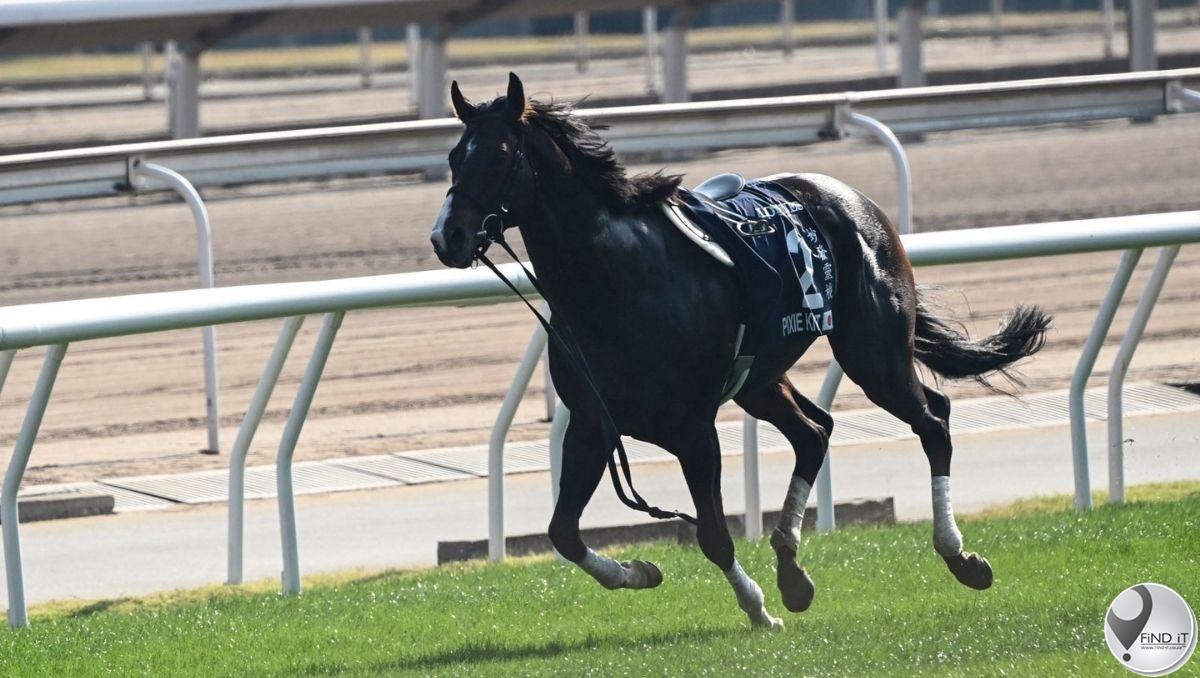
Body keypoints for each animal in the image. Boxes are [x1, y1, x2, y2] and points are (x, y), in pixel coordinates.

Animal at [429, 73, 1050, 629]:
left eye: (499, 155)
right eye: (455, 156)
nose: (446, 237)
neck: (615, 279)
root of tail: (855, 200)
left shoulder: (692, 427)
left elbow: (711, 532)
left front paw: (757, 609)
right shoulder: (592, 422)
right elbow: (562, 532)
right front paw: (642, 572)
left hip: (872, 353)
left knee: (932, 421)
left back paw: (959, 556)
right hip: (759, 380)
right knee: (815, 430)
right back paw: (792, 570)